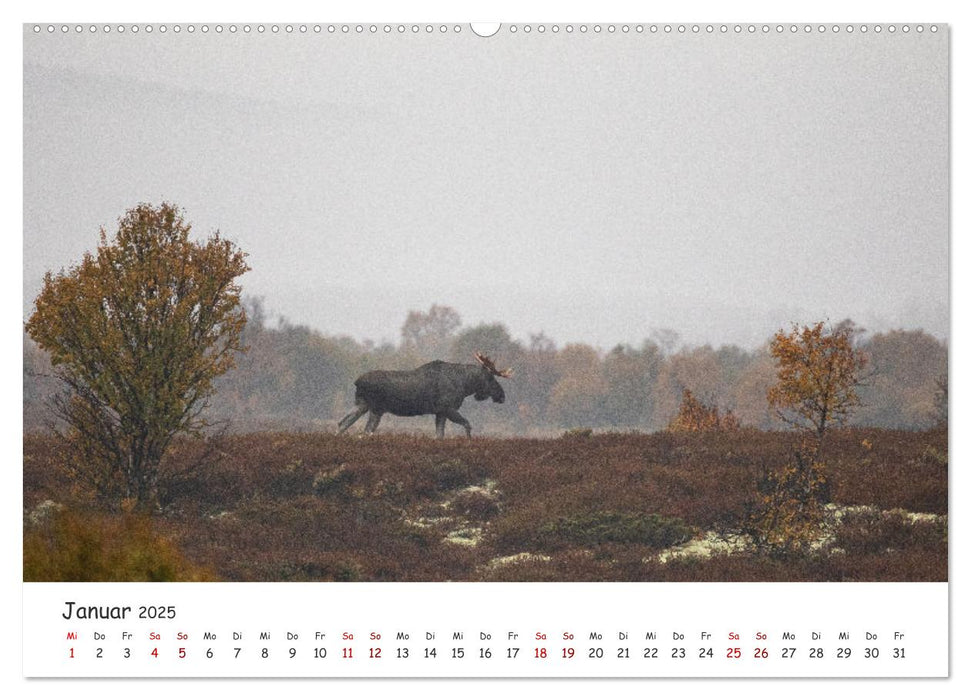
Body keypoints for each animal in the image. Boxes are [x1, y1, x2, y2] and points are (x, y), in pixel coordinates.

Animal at [338, 356, 512, 438]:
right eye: (491, 378)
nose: (502, 396)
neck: (465, 385)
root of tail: (357, 381)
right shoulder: (448, 409)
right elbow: (467, 425)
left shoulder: (440, 413)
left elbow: (440, 435)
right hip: (376, 408)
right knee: (364, 431)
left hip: (362, 405)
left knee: (343, 423)